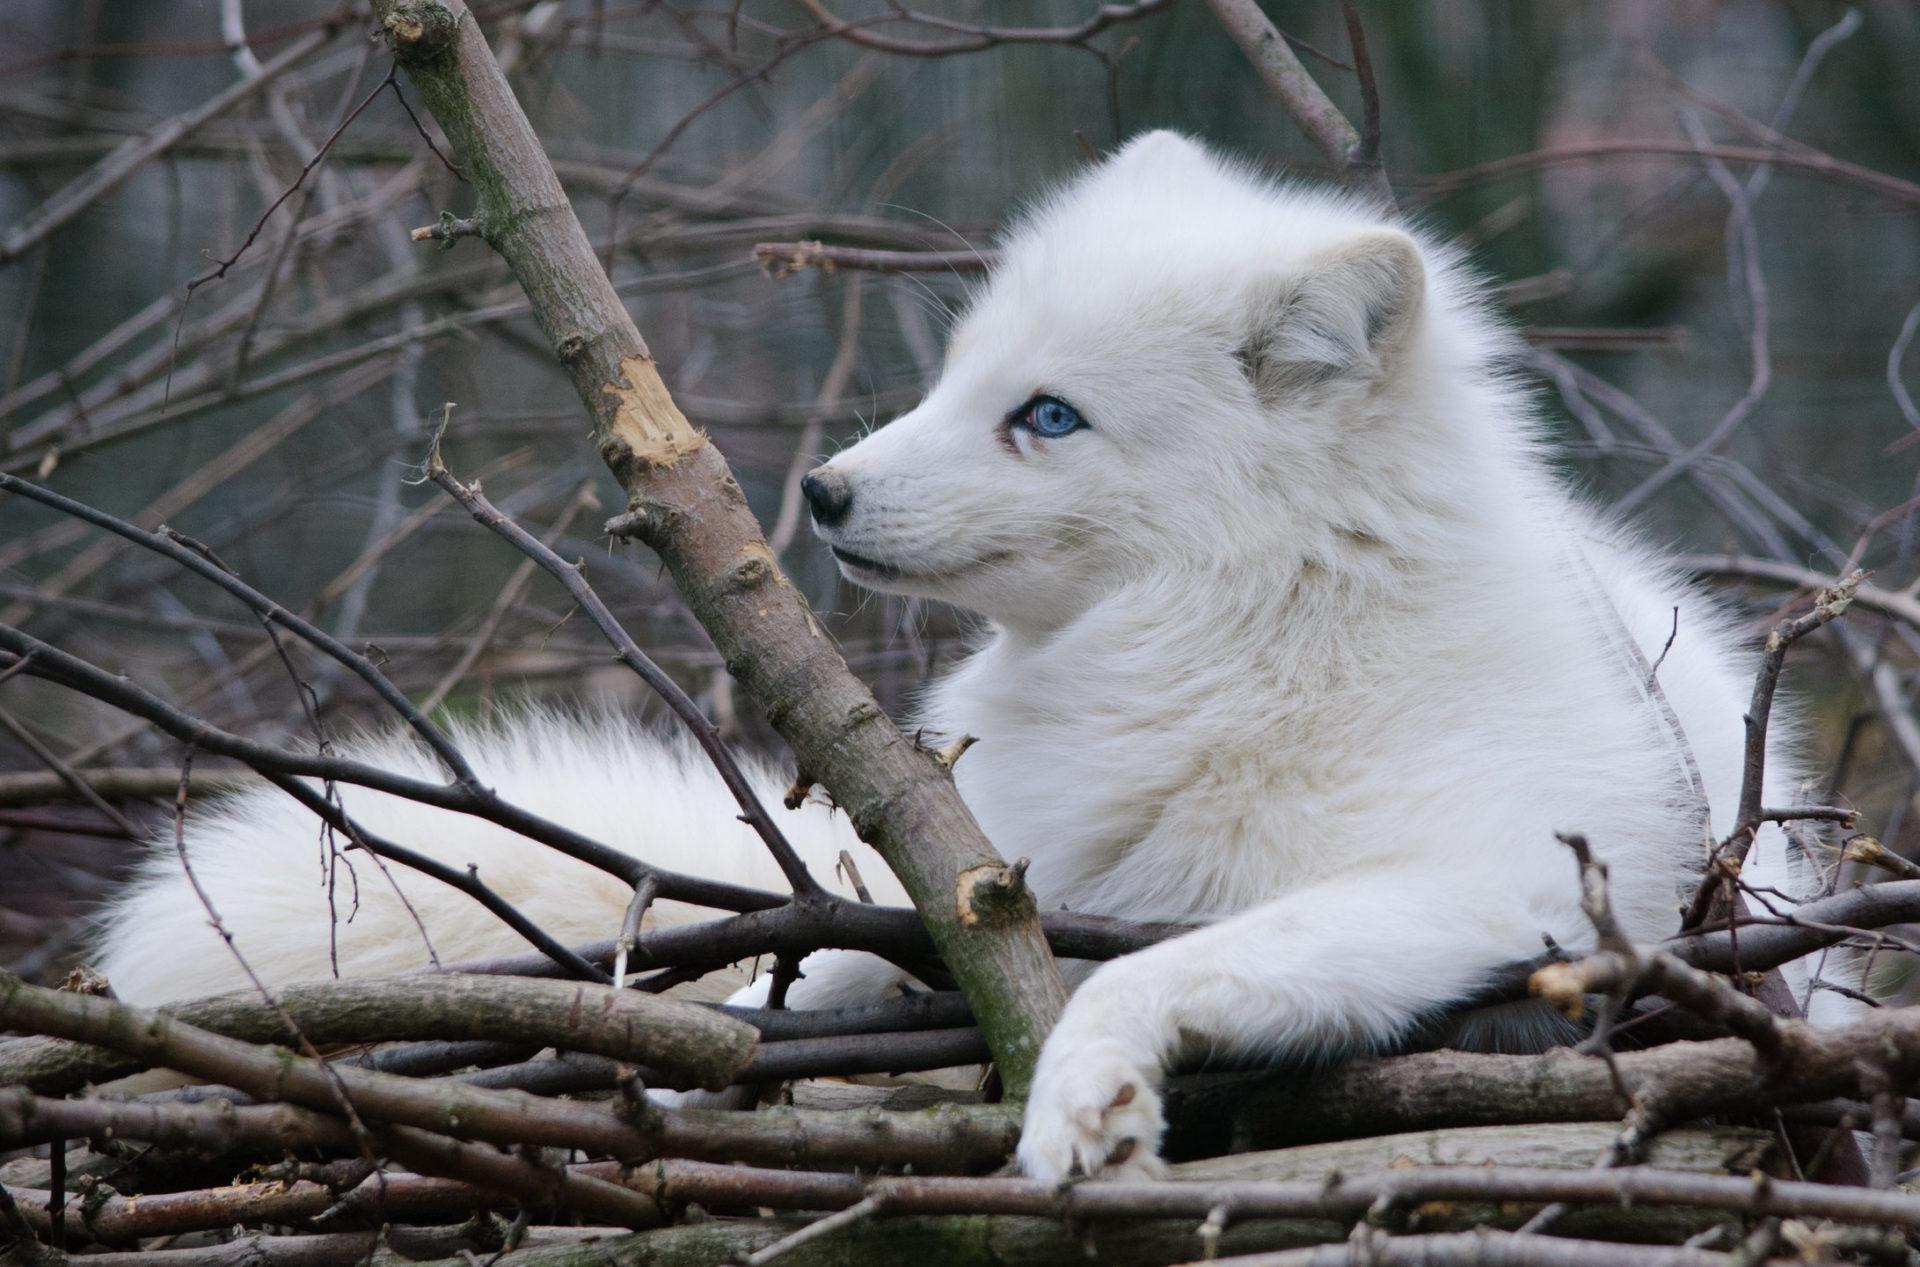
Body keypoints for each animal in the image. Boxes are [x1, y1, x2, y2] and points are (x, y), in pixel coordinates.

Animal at [94, 131, 1819, 1181]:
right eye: (959, 376)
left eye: (1045, 414)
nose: (822, 491)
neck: (1253, 628)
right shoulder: (987, 879)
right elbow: (819, 974)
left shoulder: (1501, 881)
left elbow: (1168, 961)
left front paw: (1084, 1095)